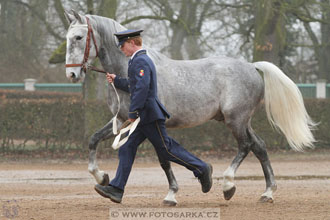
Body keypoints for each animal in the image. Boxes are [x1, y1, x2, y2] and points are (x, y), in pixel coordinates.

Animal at [63, 10, 314, 205]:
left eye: (78, 37)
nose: (72, 74)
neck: (127, 70)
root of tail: (252, 66)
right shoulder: (125, 119)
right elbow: (94, 139)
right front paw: (102, 178)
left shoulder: (148, 123)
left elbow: (164, 157)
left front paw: (172, 195)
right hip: (242, 120)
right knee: (259, 146)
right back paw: (267, 193)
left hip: (236, 119)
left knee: (245, 146)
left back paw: (228, 185)